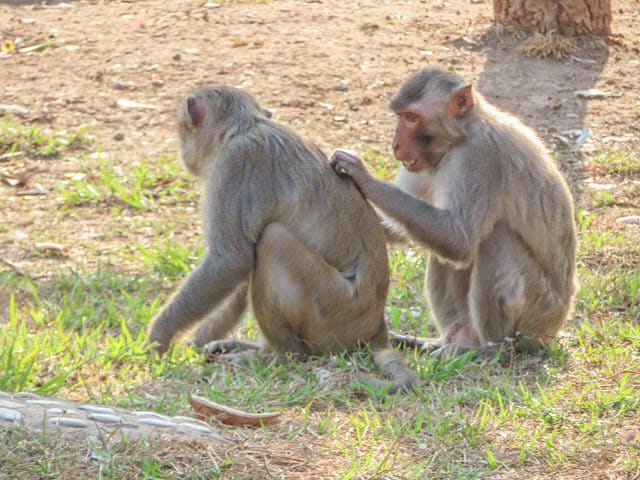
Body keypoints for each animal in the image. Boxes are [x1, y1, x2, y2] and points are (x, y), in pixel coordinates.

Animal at [146, 85, 417, 392]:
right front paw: (198, 340)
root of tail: (376, 328)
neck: (242, 127)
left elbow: (230, 261)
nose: (183, 154)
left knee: (273, 240)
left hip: (334, 313)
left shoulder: (235, 165)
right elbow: (239, 273)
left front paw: (158, 339)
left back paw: (281, 356)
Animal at [330, 67, 577, 359]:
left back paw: (491, 349)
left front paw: (363, 176)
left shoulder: (480, 157)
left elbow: (459, 239)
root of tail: (556, 325)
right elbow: (405, 231)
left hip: (537, 314)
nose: (395, 145)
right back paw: (451, 340)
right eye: (399, 115)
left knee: (493, 242)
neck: (461, 137)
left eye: (411, 117)